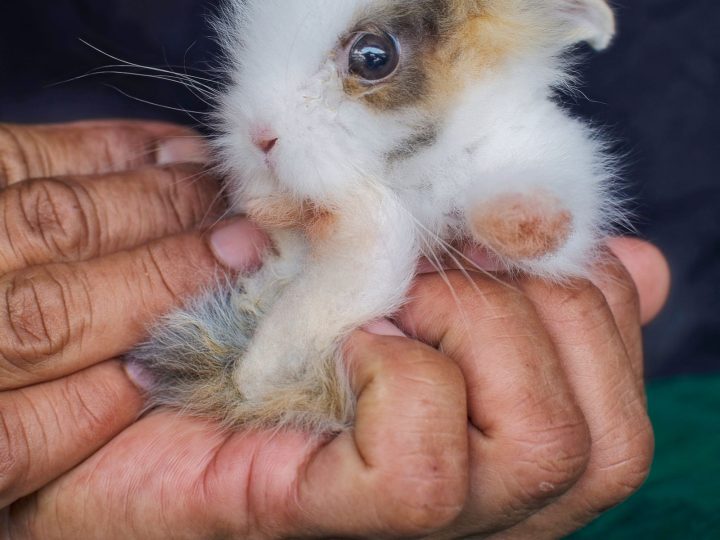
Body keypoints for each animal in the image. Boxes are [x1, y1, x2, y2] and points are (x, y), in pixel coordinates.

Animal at [130, 0, 621, 432]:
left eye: (372, 57)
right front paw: (274, 204)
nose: (259, 137)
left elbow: (550, 226)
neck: (405, 172)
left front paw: (526, 221)